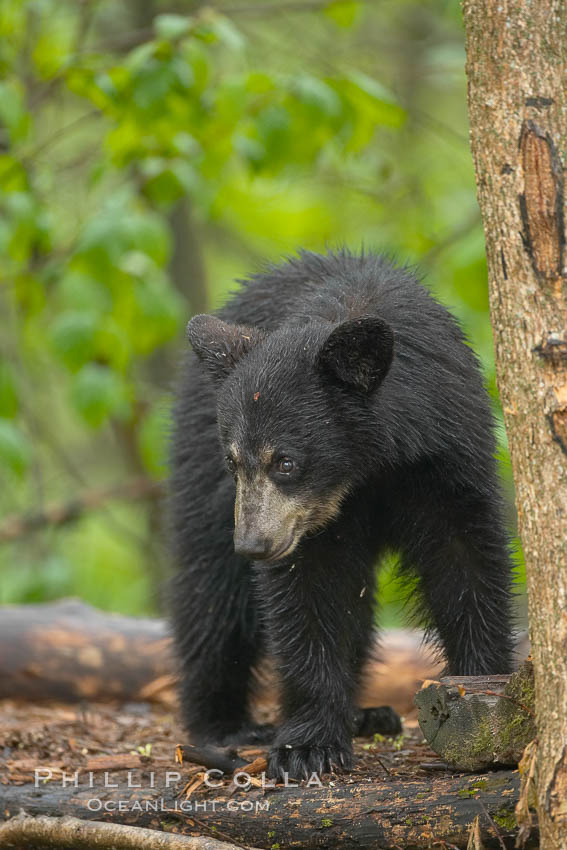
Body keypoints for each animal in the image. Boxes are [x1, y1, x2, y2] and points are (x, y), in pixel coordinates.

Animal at [170, 248, 516, 780]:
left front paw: (479, 695)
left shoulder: (446, 452)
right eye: (234, 461)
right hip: (201, 478)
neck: (366, 468)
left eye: (286, 461)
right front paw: (307, 746)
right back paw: (225, 724)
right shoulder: (300, 523)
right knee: (213, 594)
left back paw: (366, 715)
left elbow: (466, 560)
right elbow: (308, 595)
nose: (254, 544)